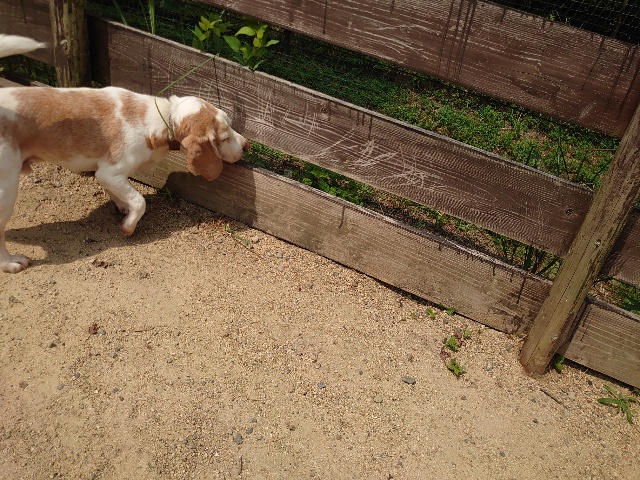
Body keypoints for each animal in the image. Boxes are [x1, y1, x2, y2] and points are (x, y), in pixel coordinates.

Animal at [0, 35, 249, 273]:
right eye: (224, 137)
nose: (247, 145)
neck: (163, 117)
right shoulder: (109, 173)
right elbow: (139, 201)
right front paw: (129, 226)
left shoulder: (112, 177)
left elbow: (123, 195)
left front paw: (122, 207)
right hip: (7, 188)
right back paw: (11, 263)